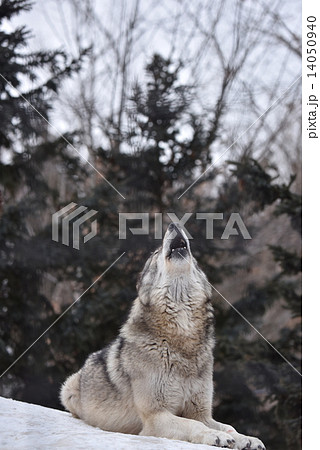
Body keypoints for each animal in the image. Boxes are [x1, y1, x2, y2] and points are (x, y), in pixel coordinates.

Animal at [60, 223, 264, 448]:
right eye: (155, 254)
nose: (174, 224)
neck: (181, 340)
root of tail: (87, 362)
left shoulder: (200, 412)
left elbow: (229, 426)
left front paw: (246, 439)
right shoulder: (155, 416)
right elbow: (195, 425)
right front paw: (215, 436)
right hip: (67, 388)